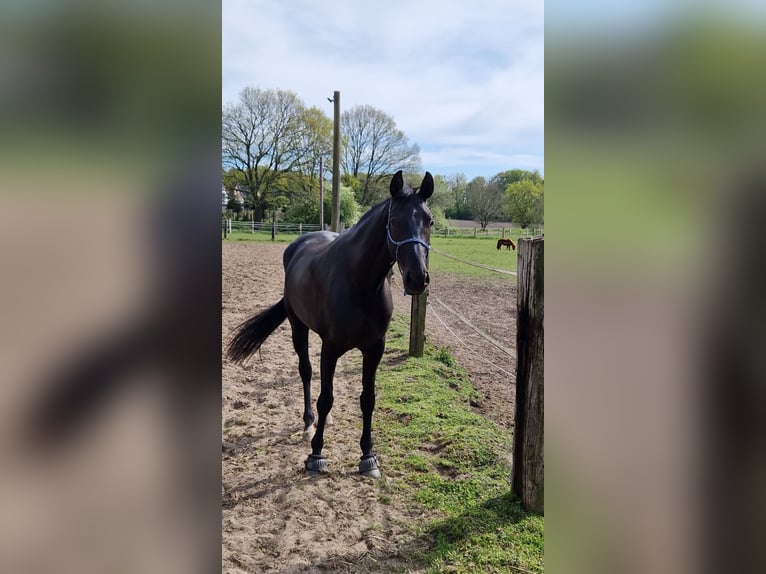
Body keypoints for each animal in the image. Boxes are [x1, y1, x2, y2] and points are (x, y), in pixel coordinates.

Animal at [226, 170, 434, 478]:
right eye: (395, 221)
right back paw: (307, 423)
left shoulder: (375, 349)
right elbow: (325, 397)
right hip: (298, 327)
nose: (417, 278)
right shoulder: (331, 348)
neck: (360, 284)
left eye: (429, 221)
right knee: (306, 372)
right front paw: (316, 454)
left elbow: (367, 399)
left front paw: (368, 455)